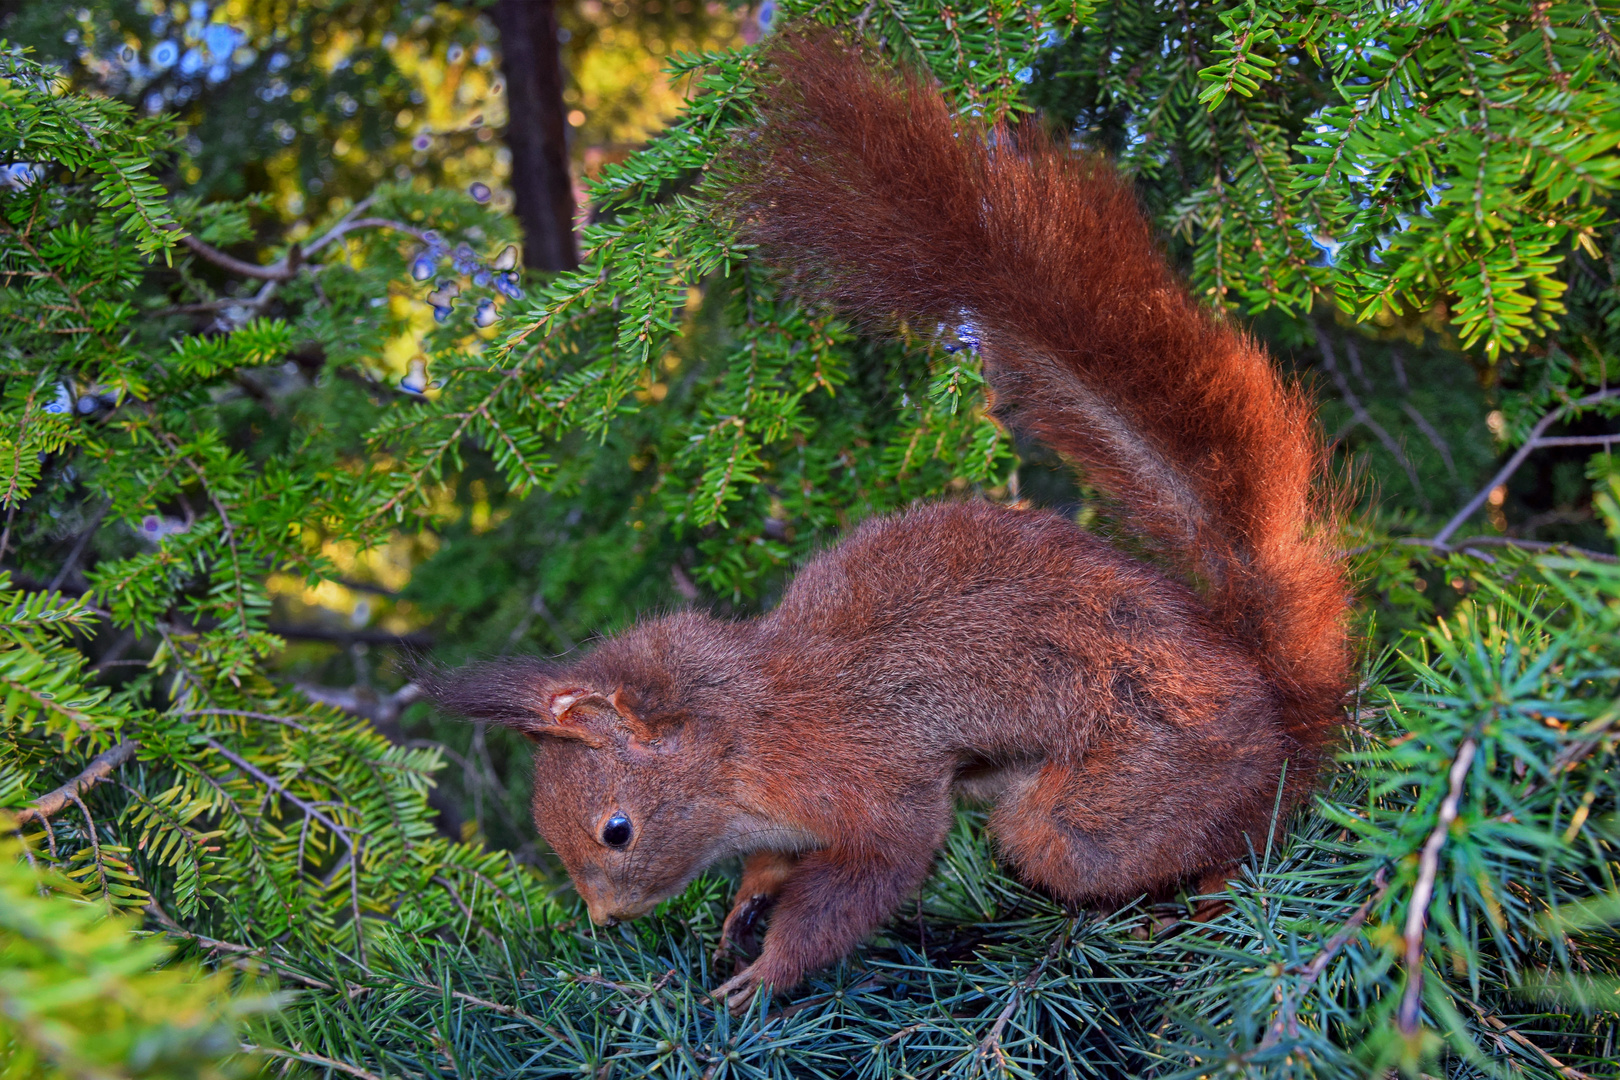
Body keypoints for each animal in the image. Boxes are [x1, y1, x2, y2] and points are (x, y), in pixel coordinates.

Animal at [421, 29, 1354, 1010]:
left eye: (616, 830)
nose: (604, 921)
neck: (744, 731)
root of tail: (1278, 700)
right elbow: (773, 866)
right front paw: (743, 907)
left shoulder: (864, 773)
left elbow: (876, 870)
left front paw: (764, 973)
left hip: (1106, 803)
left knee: (1207, 836)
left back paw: (1202, 895)